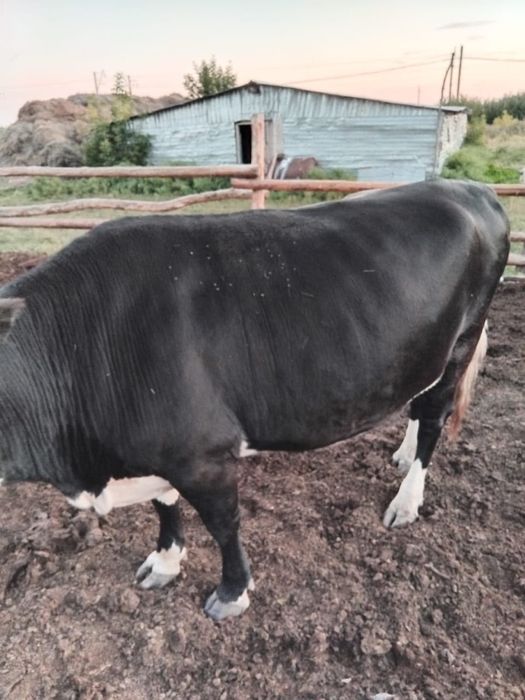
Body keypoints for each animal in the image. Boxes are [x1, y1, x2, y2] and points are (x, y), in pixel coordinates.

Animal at [0, 179, 510, 620]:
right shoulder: (161, 450)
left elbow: (223, 524)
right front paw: (164, 563)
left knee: (433, 417)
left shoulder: (203, 454)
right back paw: (402, 455)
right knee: (416, 403)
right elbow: (165, 504)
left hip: (461, 341)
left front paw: (231, 593)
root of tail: (465, 186)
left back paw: (407, 500)